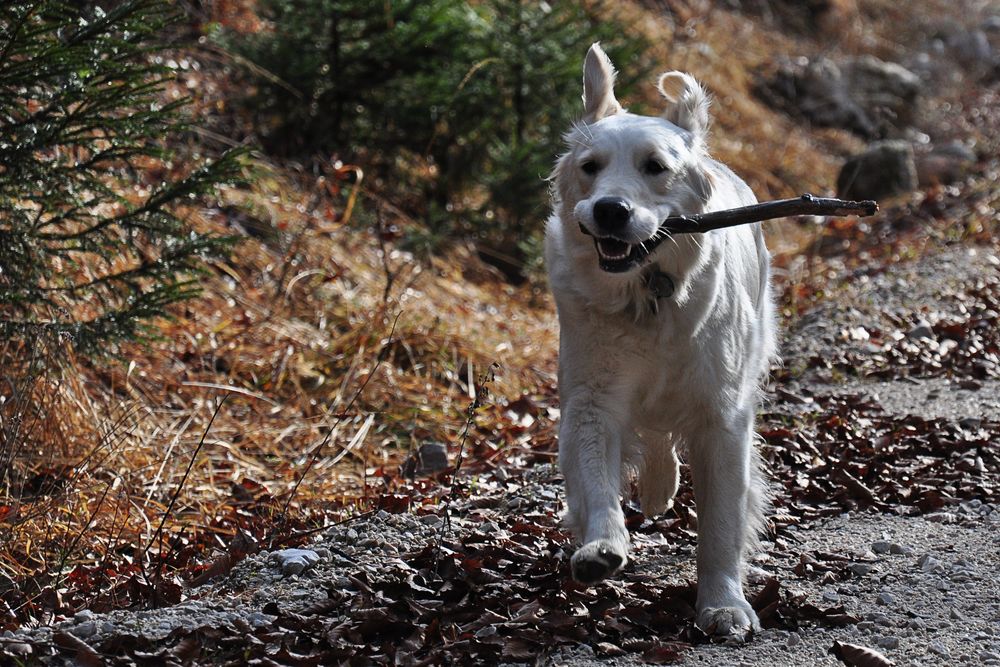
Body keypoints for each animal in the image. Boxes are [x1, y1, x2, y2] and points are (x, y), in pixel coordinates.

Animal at [544, 44, 776, 640]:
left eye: (656, 168)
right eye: (590, 168)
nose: (610, 210)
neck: (649, 294)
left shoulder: (722, 415)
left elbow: (721, 522)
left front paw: (723, 603)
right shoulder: (592, 398)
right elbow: (598, 482)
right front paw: (601, 547)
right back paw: (652, 490)